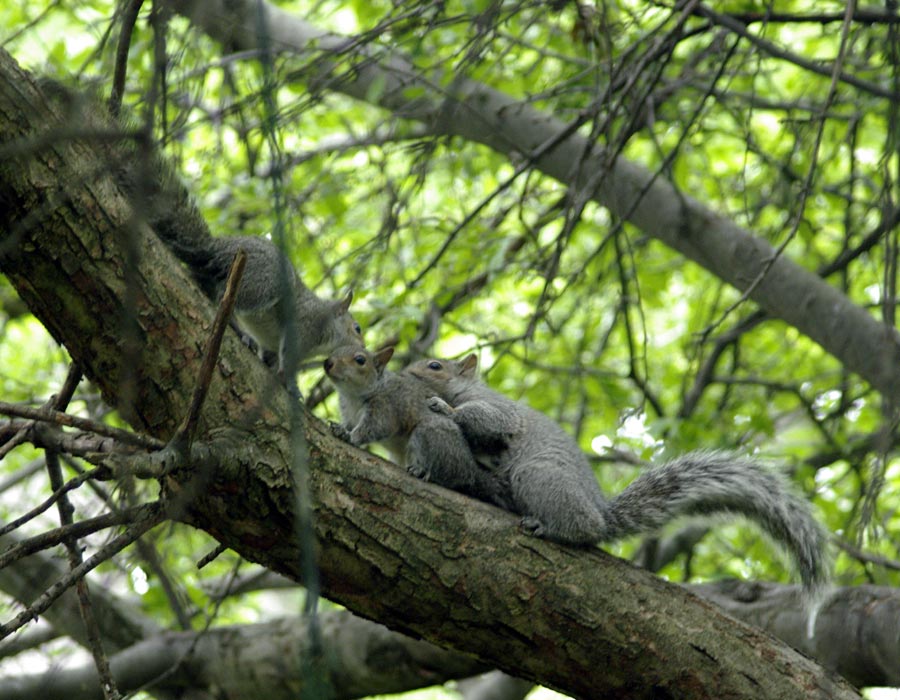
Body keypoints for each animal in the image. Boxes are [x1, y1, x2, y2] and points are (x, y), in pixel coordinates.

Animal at [323, 345, 512, 509]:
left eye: (360, 360)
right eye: (335, 350)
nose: (327, 363)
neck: (352, 396)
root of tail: (470, 468)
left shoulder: (385, 407)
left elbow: (372, 429)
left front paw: (350, 436)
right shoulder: (348, 414)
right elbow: (348, 424)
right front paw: (340, 428)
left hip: (429, 435)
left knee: (448, 476)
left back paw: (423, 471)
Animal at [405, 354, 829, 596]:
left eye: (435, 366)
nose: (407, 372)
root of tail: (601, 515)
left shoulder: (497, 411)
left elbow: (485, 420)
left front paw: (443, 407)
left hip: (537, 475)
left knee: (582, 529)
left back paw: (550, 527)